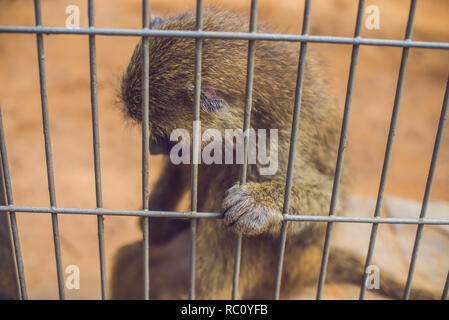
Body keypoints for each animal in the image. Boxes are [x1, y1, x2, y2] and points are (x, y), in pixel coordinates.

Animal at [110, 8, 440, 300]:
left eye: (160, 135)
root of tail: (313, 265)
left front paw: (260, 204)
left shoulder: (271, 143)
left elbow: (328, 201)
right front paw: (155, 222)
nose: (151, 148)